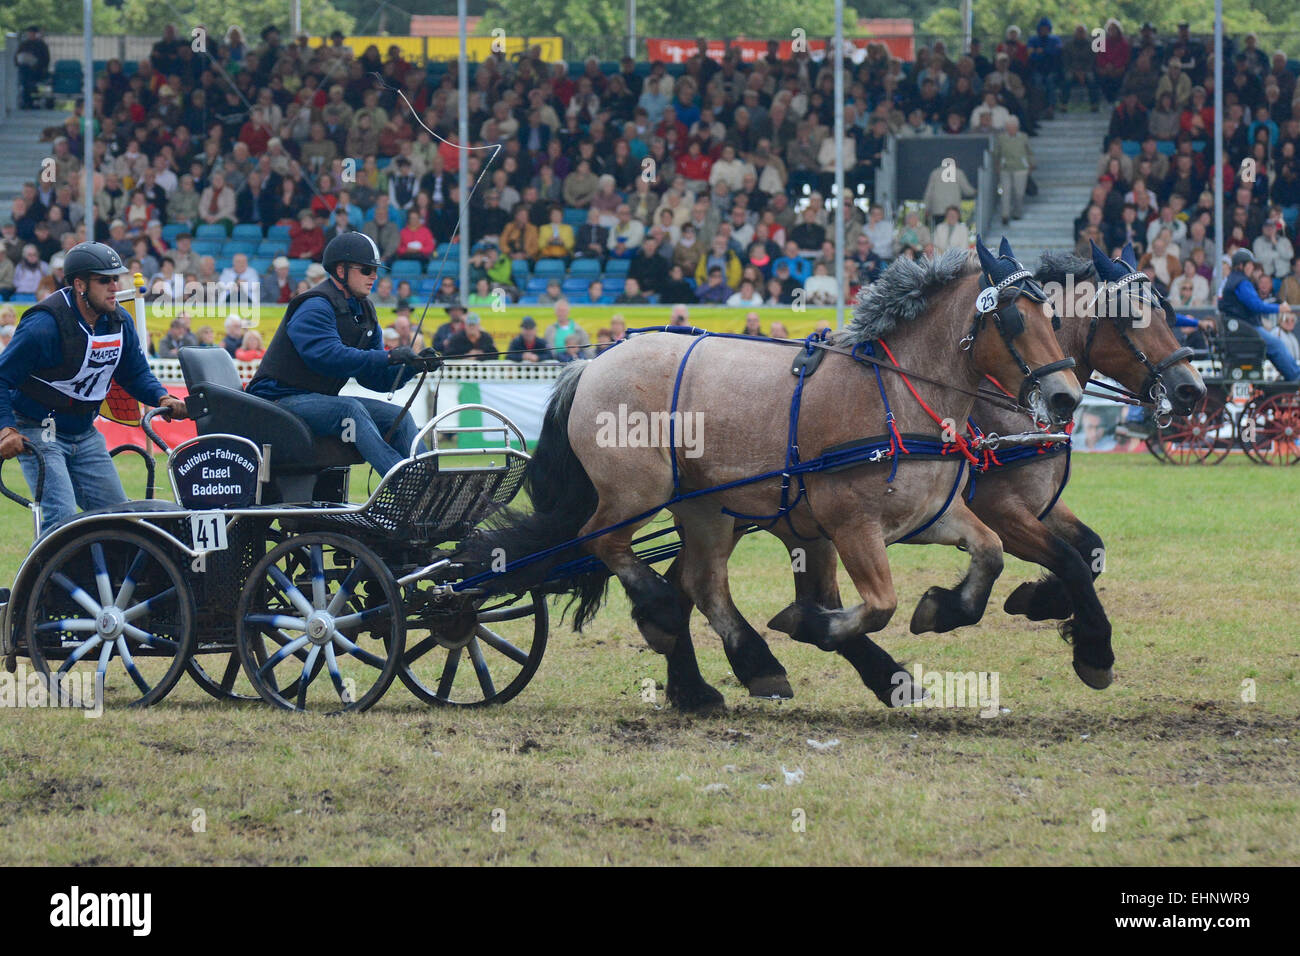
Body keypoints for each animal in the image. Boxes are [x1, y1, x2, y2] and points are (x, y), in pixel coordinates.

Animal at [462, 239, 1081, 712]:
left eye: (1054, 317)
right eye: (1013, 319)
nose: (1065, 397)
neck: (893, 395)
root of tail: (592, 362)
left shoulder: (930, 516)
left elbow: (990, 553)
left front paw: (941, 610)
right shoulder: (851, 526)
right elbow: (879, 605)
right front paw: (812, 624)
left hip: (704, 507)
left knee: (704, 583)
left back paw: (745, 665)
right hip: (637, 493)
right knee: (605, 543)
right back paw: (664, 615)